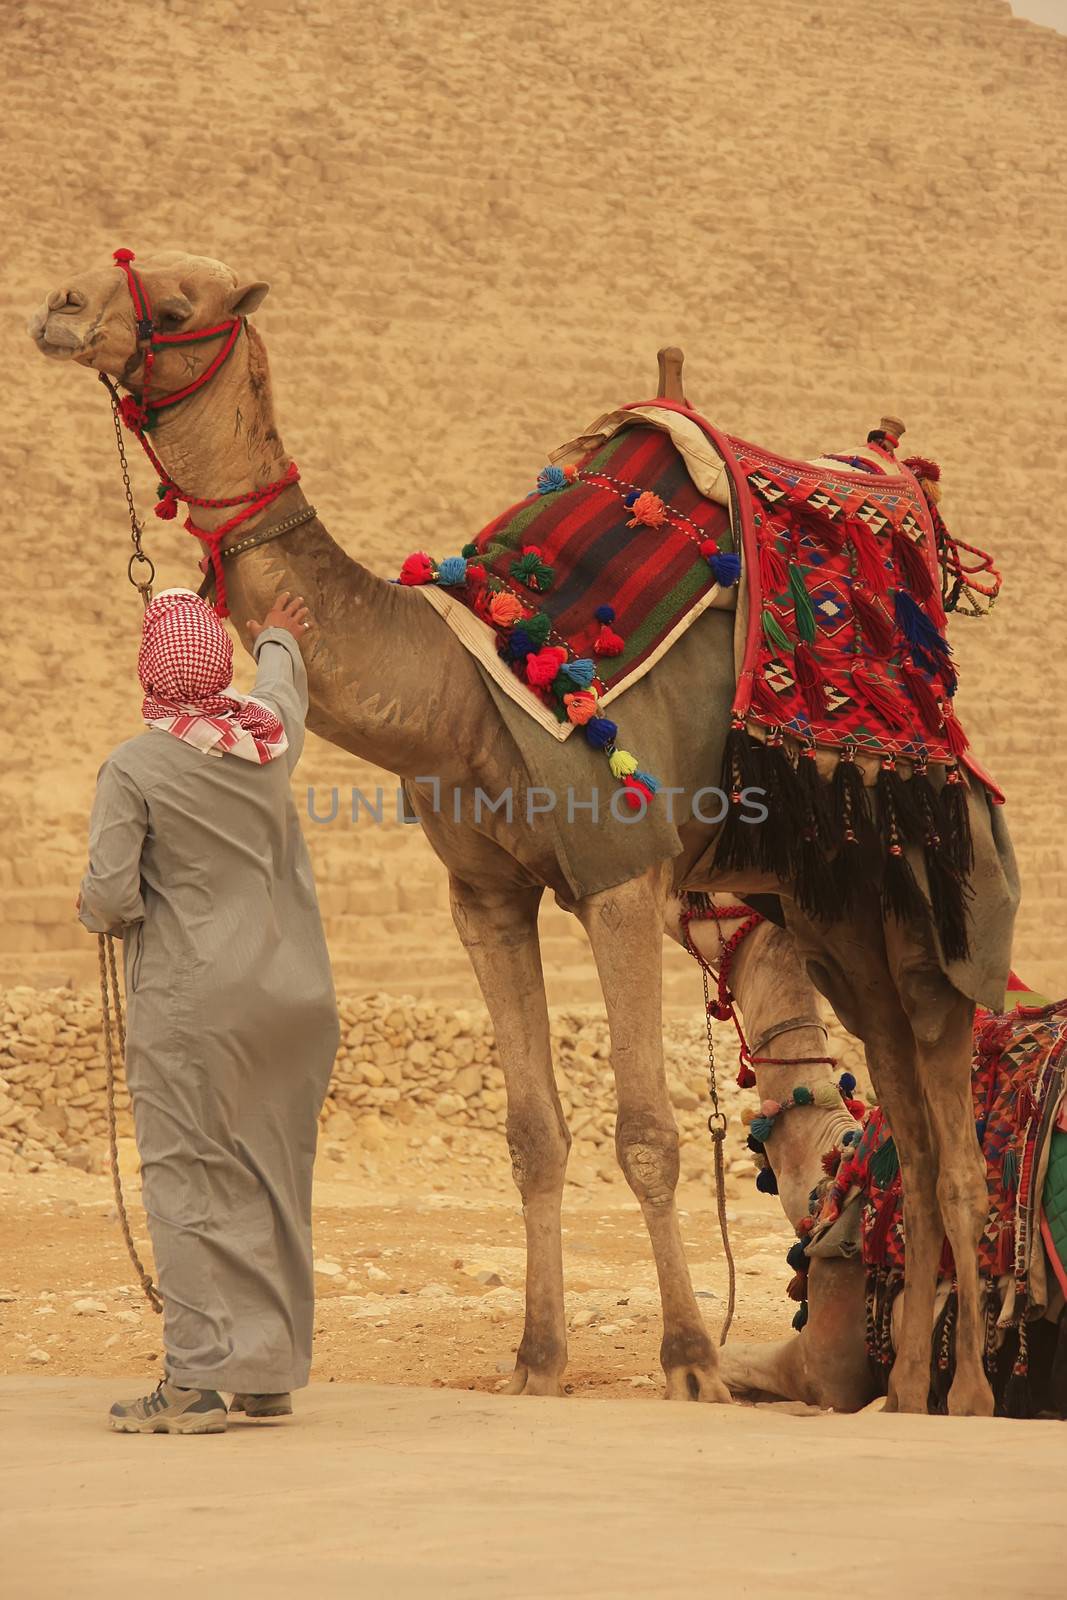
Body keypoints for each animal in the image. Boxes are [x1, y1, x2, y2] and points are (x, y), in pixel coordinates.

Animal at [29, 243, 1023, 1408]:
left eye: (179, 302)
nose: (57, 306)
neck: (459, 686)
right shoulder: (486, 895)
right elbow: (532, 1135)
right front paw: (536, 1360)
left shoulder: (623, 876)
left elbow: (645, 1135)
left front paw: (688, 1361)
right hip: (828, 914)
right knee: (906, 1116)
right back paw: (905, 1385)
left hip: (928, 889)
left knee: (954, 1138)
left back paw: (964, 1395)